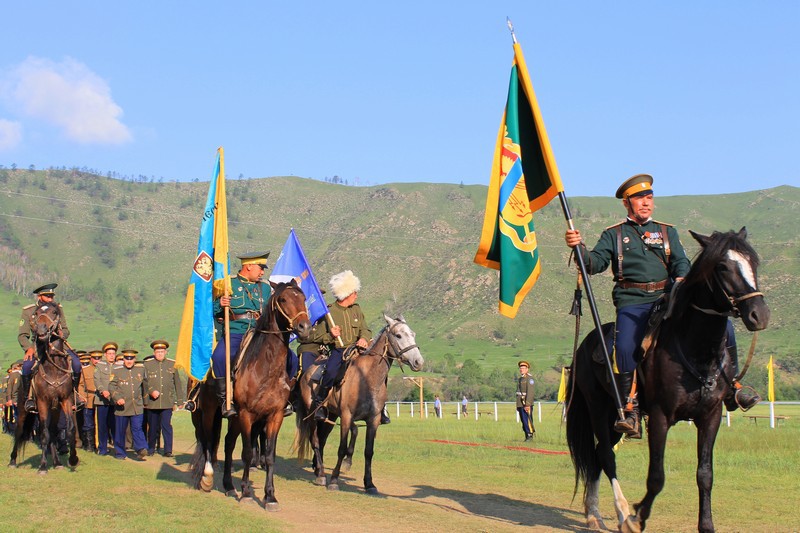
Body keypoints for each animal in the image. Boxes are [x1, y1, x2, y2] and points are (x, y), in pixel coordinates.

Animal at [9, 302, 79, 472]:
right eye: (36, 313)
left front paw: (73, 459)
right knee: (19, 430)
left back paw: (57, 462)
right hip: (23, 408)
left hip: (55, 409)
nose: (41, 329)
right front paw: (42, 466)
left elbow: (70, 428)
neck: (53, 368)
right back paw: (13, 460)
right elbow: (43, 433)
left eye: (55, 312)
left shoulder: (65, 399)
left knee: (53, 431)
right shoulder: (41, 401)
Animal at [189, 276, 310, 510]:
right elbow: (246, 452)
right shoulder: (246, 414)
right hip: (209, 412)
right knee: (207, 440)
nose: (304, 327)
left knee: (227, 443)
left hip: (234, 418)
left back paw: (228, 485)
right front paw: (246, 493)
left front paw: (270, 496)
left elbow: (269, 456)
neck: (266, 367)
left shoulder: (274, 416)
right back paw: (207, 478)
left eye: (303, 298)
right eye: (283, 299)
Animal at [290, 314, 422, 492]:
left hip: (330, 416)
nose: (418, 362)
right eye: (398, 335)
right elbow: (341, 449)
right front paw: (334, 480)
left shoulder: (373, 420)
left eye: (413, 334)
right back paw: (322, 476)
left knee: (322, 440)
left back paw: (318, 469)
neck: (366, 378)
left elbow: (368, 451)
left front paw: (369, 484)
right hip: (312, 416)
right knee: (315, 440)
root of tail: (307, 372)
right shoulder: (347, 417)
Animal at [564, 229, 772, 532]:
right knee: (605, 455)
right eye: (722, 267)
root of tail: (585, 344)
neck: (696, 349)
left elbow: (705, 474)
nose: (759, 314)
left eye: (753, 262)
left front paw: (706, 525)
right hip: (598, 408)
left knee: (598, 456)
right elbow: (656, 476)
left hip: (613, 417)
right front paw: (637, 517)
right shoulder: (660, 417)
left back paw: (595, 513)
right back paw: (622, 512)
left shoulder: (710, 416)